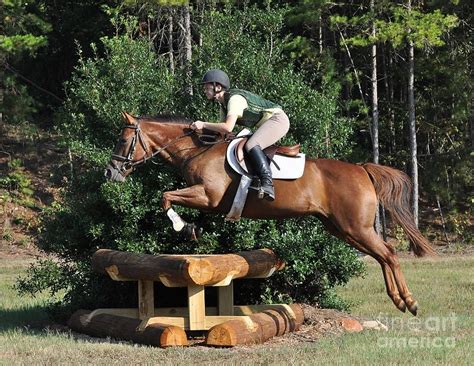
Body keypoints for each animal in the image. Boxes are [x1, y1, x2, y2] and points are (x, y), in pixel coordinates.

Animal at [105, 111, 436, 314]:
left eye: (122, 140)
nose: (111, 172)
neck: (197, 150)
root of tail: (361, 169)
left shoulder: (208, 197)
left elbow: (166, 197)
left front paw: (183, 228)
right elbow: (166, 196)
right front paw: (188, 228)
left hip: (355, 227)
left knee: (388, 254)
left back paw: (409, 301)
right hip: (342, 228)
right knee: (383, 256)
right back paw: (399, 301)